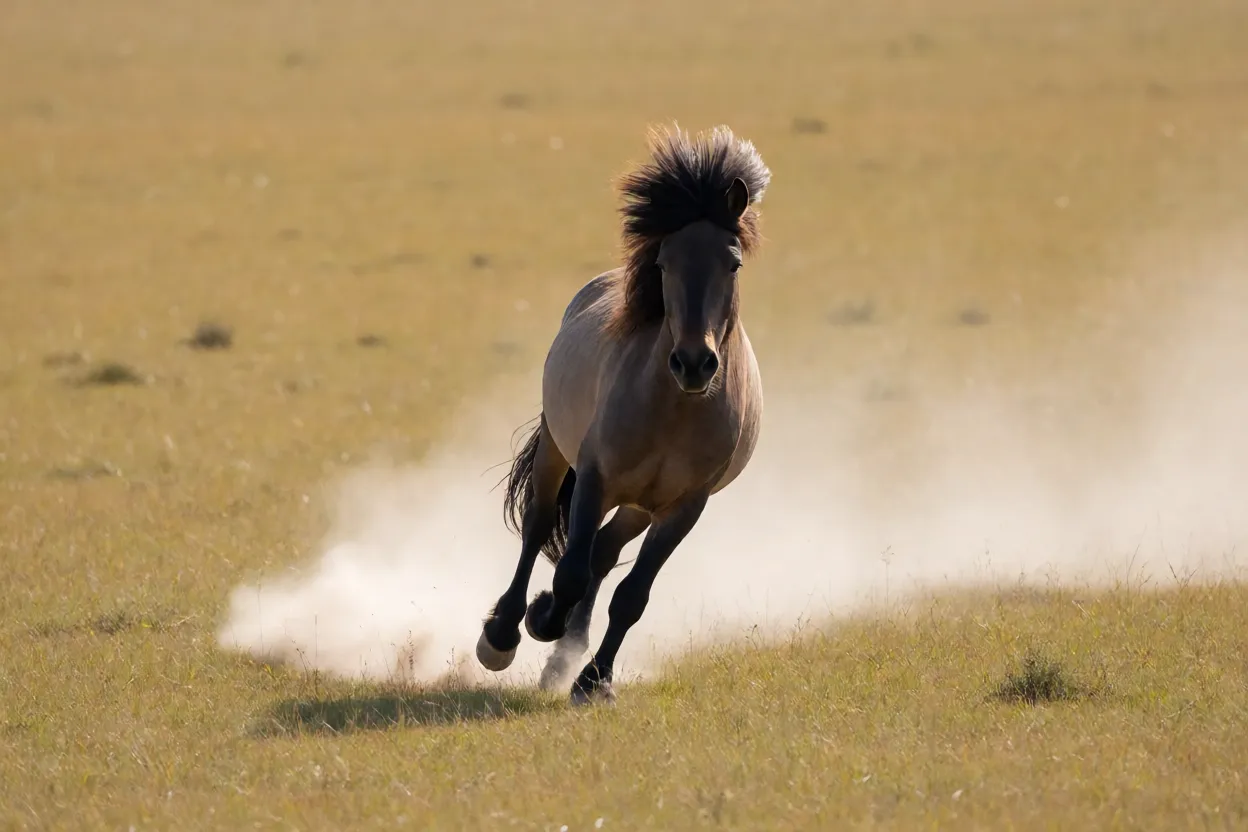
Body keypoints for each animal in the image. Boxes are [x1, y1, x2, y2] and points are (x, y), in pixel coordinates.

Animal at [476, 124, 770, 705]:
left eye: (733, 263)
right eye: (663, 263)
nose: (695, 363)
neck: (675, 410)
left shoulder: (684, 506)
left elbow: (631, 595)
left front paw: (594, 680)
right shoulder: (595, 475)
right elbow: (568, 573)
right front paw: (542, 619)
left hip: (639, 506)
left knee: (605, 553)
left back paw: (564, 656)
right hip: (557, 450)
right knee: (541, 527)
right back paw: (506, 633)